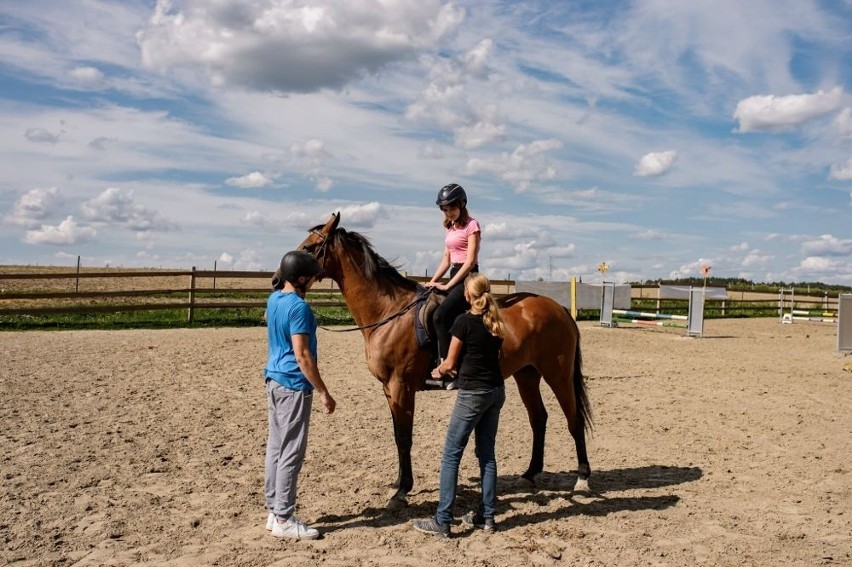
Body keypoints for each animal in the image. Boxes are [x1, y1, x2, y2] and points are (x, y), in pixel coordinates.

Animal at [300, 212, 592, 506]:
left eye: (309, 248)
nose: (286, 279)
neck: (389, 311)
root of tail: (559, 309)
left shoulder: (401, 386)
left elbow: (404, 438)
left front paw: (402, 491)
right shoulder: (388, 388)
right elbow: (397, 435)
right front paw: (399, 483)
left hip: (557, 373)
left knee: (573, 419)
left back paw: (582, 478)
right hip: (527, 374)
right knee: (539, 418)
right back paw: (530, 474)